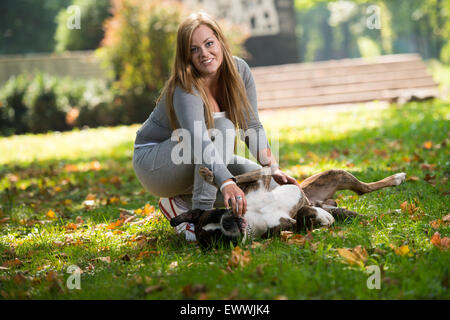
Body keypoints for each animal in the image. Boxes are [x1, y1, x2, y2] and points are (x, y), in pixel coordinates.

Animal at [170, 166, 408, 249]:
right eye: (217, 237)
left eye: (218, 213)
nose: (229, 221)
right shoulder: (290, 227)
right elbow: (305, 216)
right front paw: (321, 217)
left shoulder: (260, 179)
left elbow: (243, 176)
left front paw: (211, 176)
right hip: (345, 208)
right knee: (364, 208)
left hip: (335, 174)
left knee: (365, 188)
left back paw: (397, 178)